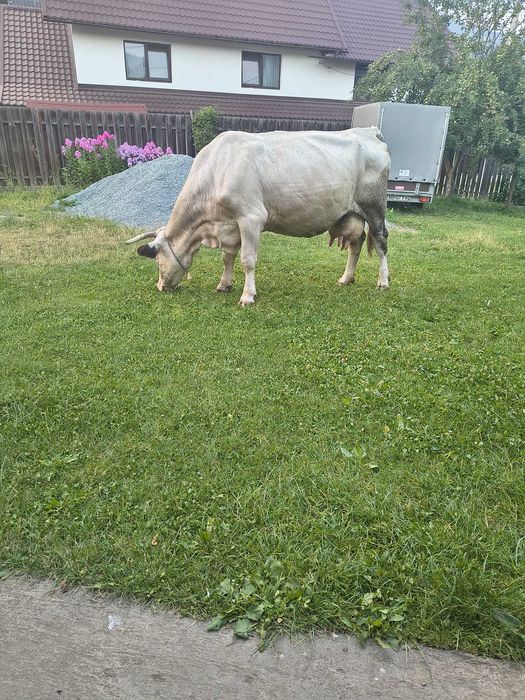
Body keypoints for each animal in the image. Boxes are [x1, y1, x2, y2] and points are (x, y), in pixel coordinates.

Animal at [125, 127, 390, 305]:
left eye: (157, 260)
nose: (160, 287)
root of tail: (369, 131)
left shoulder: (251, 218)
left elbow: (247, 260)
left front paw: (247, 296)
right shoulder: (230, 225)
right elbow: (227, 257)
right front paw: (224, 284)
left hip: (374, 206)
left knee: (381, 241)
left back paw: (383, 281)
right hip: (352, 213)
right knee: (356, 244)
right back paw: (346, 278)